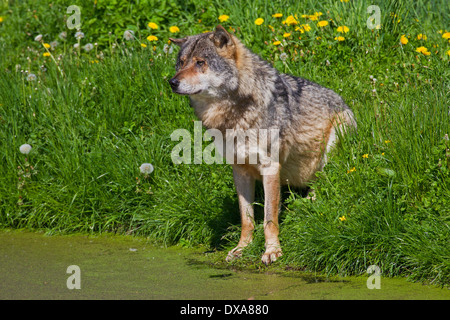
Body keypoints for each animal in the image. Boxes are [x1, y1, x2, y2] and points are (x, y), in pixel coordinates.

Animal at [168, 25, 356, 264]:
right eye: (181, 62)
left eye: (200, 62)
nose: (172, 82)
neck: (235, 114)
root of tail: (344, 102)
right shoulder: (239, 171)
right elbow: (247, 220)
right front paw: (241, 249)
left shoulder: (270, 168)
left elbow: (269, 219)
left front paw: (272, 251)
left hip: (335, 140)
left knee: (324, 183)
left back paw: (307, 204)